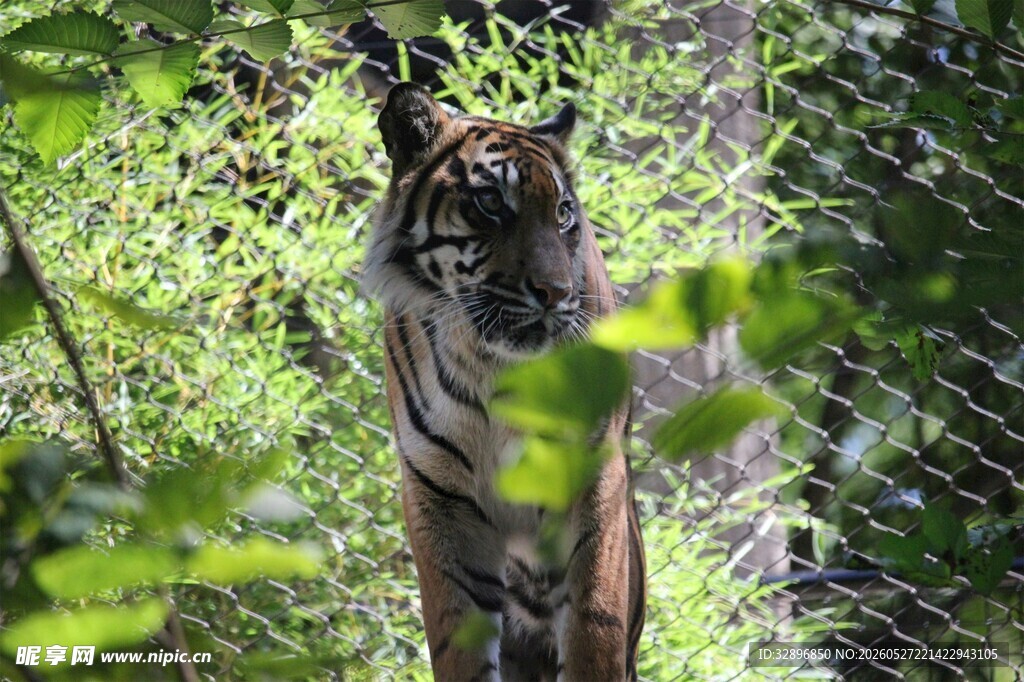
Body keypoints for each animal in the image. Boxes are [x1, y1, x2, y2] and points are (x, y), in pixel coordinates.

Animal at [363, 82, 646, 681]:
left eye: (563, 213)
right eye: (491, 203)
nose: (556, 292)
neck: (493, 366)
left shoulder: (593, 476)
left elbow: (593, 626)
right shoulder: (440, 495)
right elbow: (458, 642)